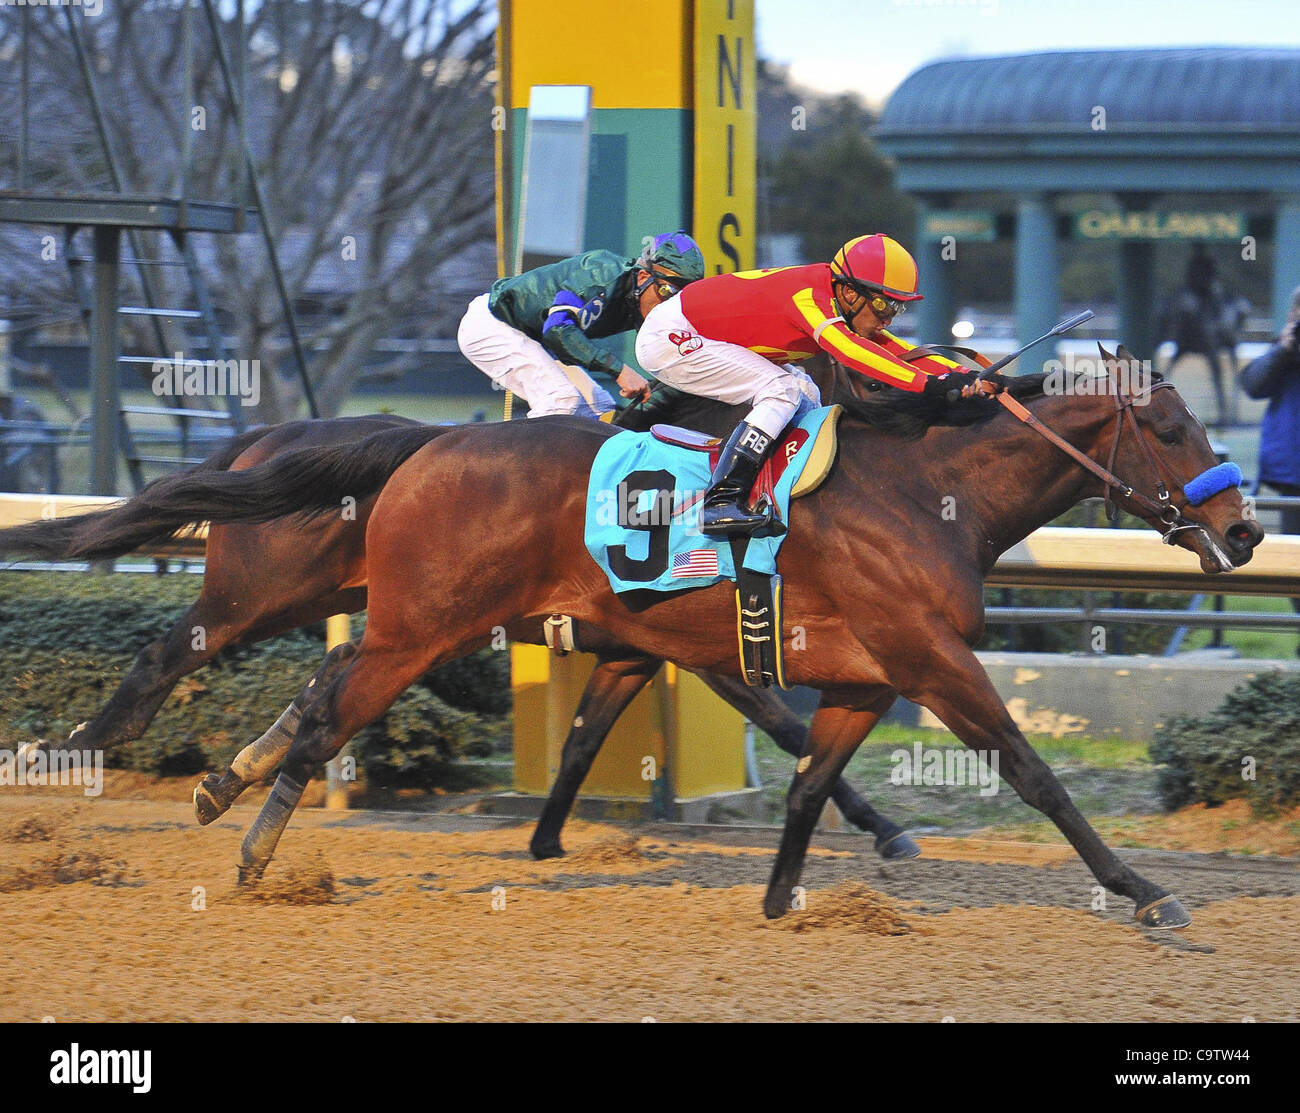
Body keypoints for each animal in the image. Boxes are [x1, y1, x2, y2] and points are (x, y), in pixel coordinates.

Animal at [0, 377, 920, 858]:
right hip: (262, 596)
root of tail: (268, 436)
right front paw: (885, 829)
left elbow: (585, 738)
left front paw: (546, 838)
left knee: (327, 673)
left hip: (380, 610)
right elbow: (791, 728)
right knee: (163, 660)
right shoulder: (708, 650)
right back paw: (62, 754)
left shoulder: (638, 649)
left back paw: (224, 777)